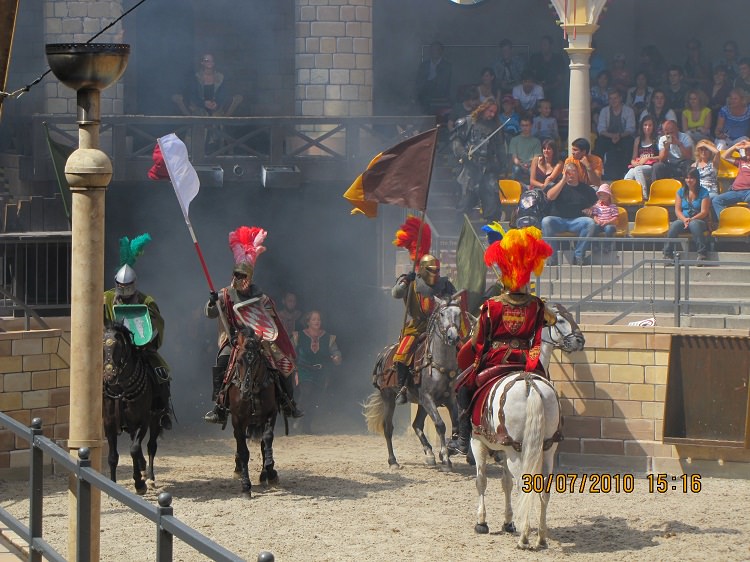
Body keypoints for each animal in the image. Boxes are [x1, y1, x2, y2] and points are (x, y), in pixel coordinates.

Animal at [103, 318, 162, 492]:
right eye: (103, 345)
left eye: (119, 346)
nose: (109, 375)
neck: (121, 390)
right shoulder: (109, 425)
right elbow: (113, 456)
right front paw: (112, 485)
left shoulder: (143, 421)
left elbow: (134, 449)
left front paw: (139, 483)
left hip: (156, 419)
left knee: (150, 446)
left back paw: (150, 478)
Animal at [226, 326, 282, 492]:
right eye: (238, 360)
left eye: (257, 360)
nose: (245, 392)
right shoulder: (237, 419)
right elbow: (243, 451)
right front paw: (246, 485)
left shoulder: (271, 413)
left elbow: (267, 438)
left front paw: (270, 470)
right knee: (239, 442)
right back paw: (238, 468)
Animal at [472, 302, 584, 548]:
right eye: (561, 319)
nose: (580, 340)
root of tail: (530, 384)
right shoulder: (503, 449)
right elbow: (505, 482)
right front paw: (508, 521)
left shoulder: (478, 442)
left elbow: (482, 480)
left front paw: (482, 522)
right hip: (548, 448)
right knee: (542, 489)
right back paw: (540, 536)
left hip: (517, 451)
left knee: (525, 485)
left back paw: (524, 537)